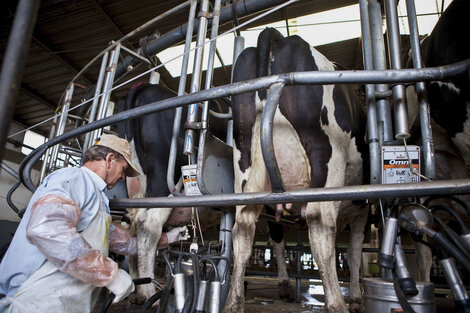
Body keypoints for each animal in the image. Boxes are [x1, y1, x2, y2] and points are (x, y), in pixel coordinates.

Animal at [224, 28, 370, 312]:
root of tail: (278, 37)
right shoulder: (363, 207)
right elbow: (355, 252)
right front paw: (357, 298)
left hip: (245, 163)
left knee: (244, 228)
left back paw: (234, 303)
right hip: (327, 157)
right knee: (321, 227)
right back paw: (336, 303)